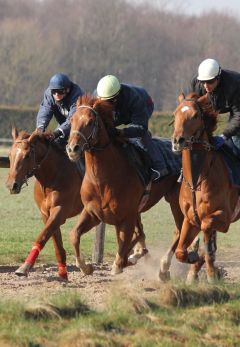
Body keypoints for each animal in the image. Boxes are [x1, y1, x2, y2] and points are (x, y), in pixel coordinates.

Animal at [66, 94, 184, 278]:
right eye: (72, 120)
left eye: (91, 122)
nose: (72, 149)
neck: (103, 180)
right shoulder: (93, 213)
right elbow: (74, 235)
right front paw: (85, 266)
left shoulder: (126, 216)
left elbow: (122, 253)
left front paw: (123, 261)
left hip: (176, 201)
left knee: (179, 230)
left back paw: (164, 267)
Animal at [172, 92, 239, 282]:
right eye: (174, 114)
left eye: (195, 115)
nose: (177, 141)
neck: (197, 182)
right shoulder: (189, 219)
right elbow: (180, 251)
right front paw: (194, 262)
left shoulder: (223, 218)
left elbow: (207, 232)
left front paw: (211, 273)